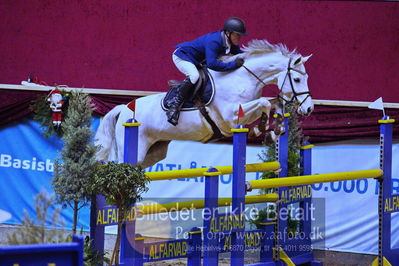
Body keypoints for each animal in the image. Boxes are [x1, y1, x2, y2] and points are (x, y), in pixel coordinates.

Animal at [95, 39, 314, 168]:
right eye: (296, 80)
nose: (309, 109)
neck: (243, 79)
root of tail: (124, 109)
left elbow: (272, 103)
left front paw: (274, 131)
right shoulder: (230, 117)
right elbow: (264, 104)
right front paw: (260, 130)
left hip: (153, 152)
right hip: (134, 148)